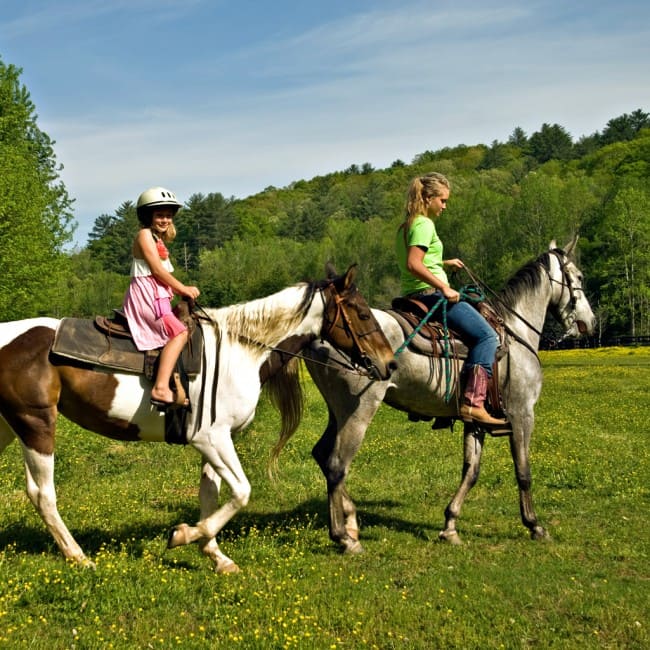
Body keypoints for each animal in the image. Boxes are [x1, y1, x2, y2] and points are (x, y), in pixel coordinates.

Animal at [0, 260, 394, 568]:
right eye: (362, 313)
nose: (389, 364)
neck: (241, 350)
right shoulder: (211, 438)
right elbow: (241, 492)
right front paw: (183, 535)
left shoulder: (215, 441)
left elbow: (211, 494)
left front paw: (215, 555)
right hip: (37, 424)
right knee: (42, 493)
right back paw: (78, 556)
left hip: (10, 426)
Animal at [302, 238, 596, 552]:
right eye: (579, 277)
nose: (590, 323)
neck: (514, 334)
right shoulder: (522, 414)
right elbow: (523, 472)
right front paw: (535, 525)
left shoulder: (476, 420)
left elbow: (471, 471)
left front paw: (450, 525)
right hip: (358, 412)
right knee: (336, 464)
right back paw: (344, 536)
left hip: (338, 412)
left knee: (322, 455)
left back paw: (351, 522)